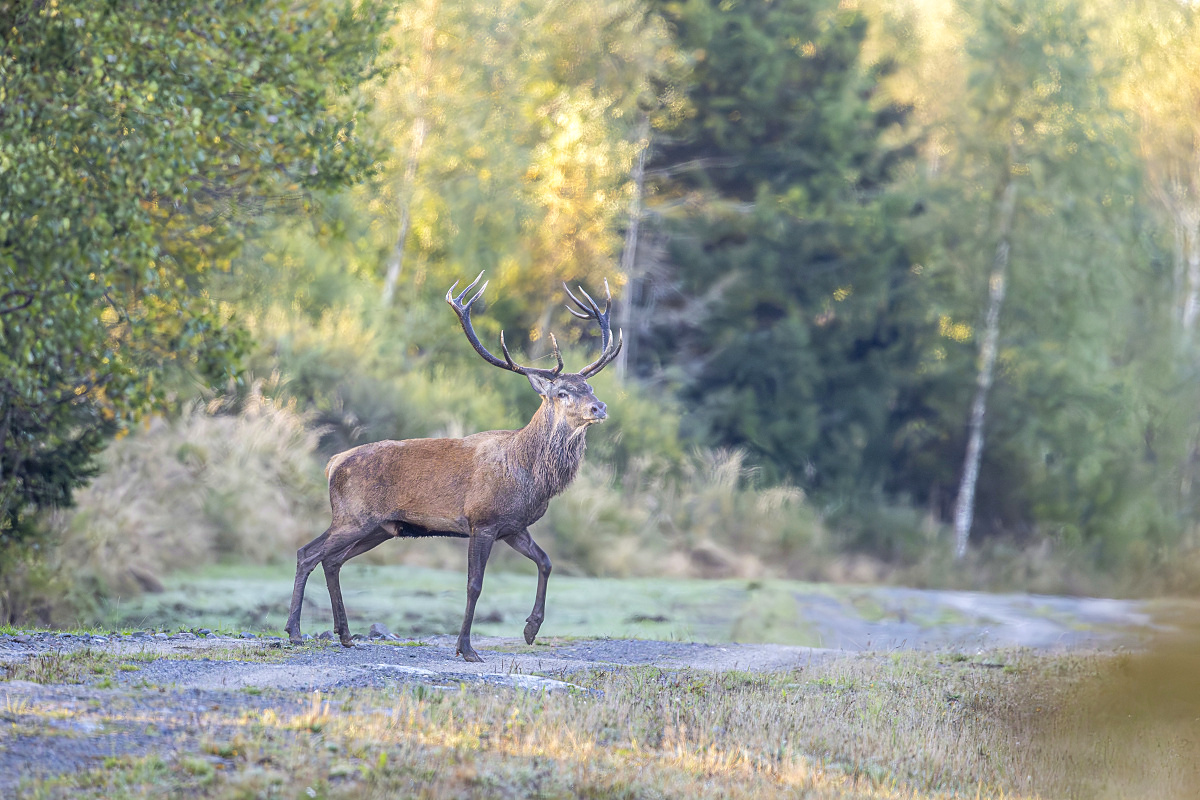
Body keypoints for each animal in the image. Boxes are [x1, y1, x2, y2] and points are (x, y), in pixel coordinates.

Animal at [280, 275, 619, 662]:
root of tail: (332, 463)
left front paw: (531, 629)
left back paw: (346, 634)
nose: (599, 407)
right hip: (353, 516)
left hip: (380, 528)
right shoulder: (482, 520)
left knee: (332, 561)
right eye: (562, 392)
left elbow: (546, 562)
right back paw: (295, 632)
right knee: (307, 553)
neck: (530, 473)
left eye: (589, 386)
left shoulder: (513, 526)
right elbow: (474, 584)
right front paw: (466, 648)